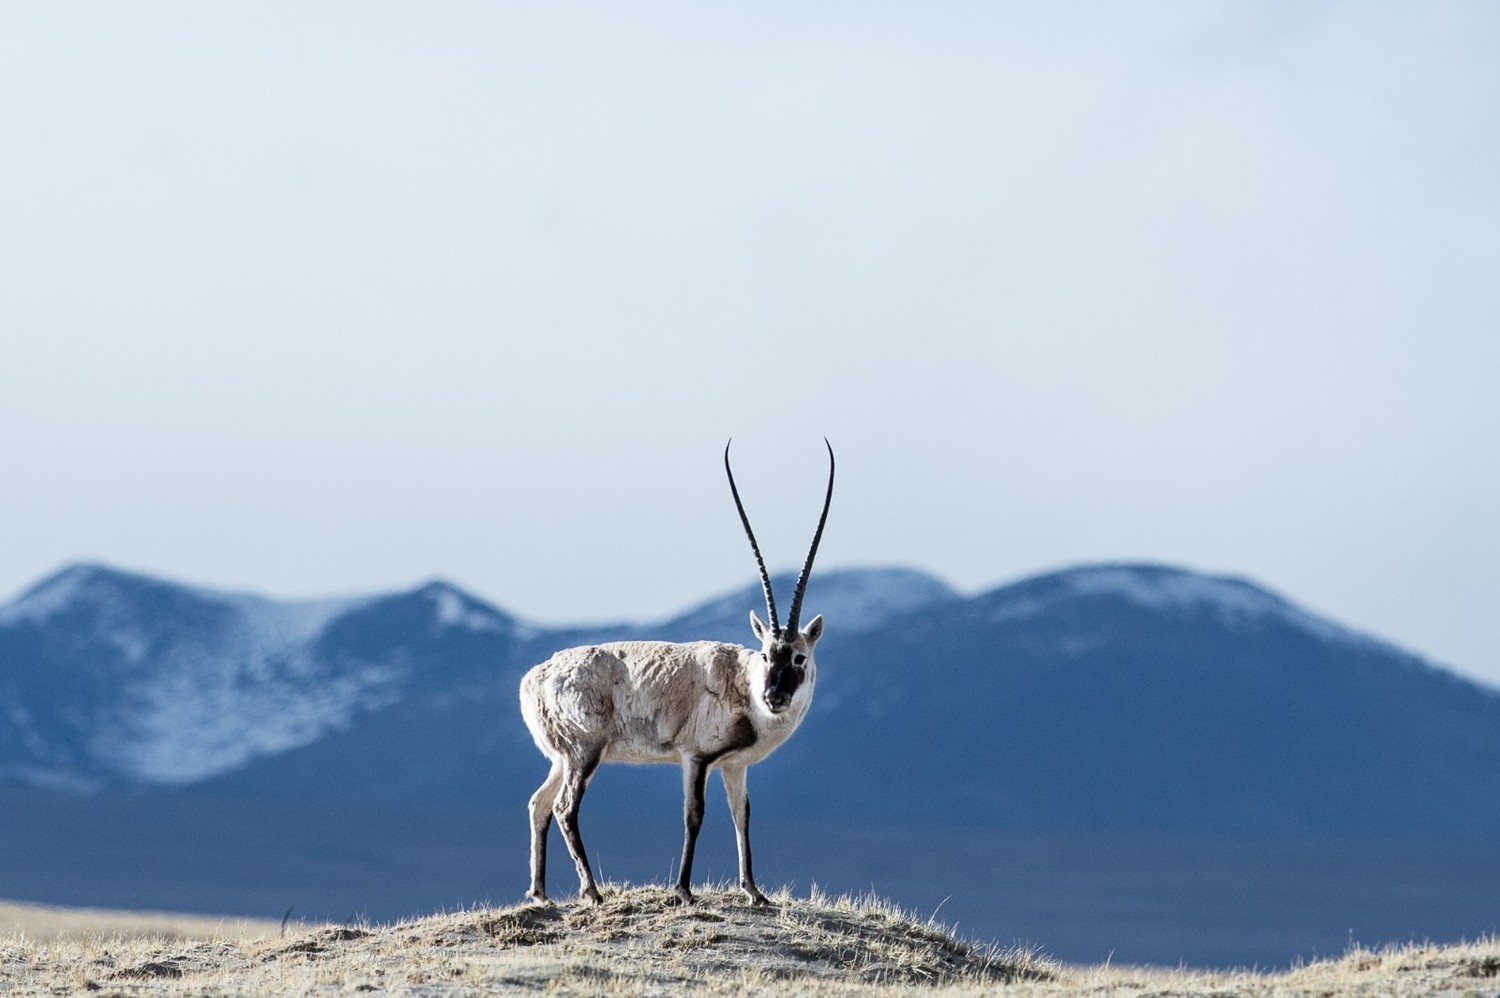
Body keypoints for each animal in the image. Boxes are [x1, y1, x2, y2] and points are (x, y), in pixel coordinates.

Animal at [519, 441, 834, 906]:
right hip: (584, 752)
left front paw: (755, 892)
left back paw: (540, 893)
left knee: (539, 803)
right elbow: (694, 816)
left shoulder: (735, 766)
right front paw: (684, 890)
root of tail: (534, 679)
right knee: (564, 807)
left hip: (561, 756)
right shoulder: (695, 757)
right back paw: (592, 892)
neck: (742, 683)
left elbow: (742, 815)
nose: (774, 697)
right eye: (765, 655)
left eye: (797, 657)